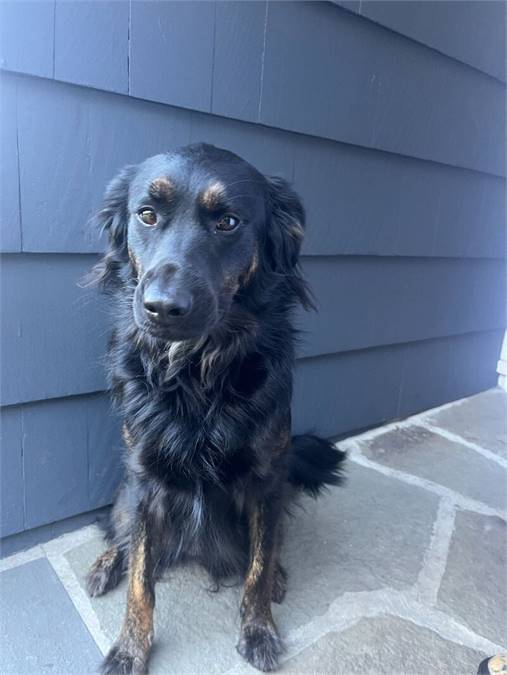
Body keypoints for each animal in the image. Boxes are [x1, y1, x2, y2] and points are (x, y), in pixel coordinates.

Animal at [86, 145, 346, 672]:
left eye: (228, 222)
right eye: (147, 215)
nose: (163, 308)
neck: (195, 369)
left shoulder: (267, 477)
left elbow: (257, 567)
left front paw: (259, 628)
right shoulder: (144, 480)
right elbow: (141, 575)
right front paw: (129, 648)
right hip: (124, 492)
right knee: (119, 533)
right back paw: (105, 564)